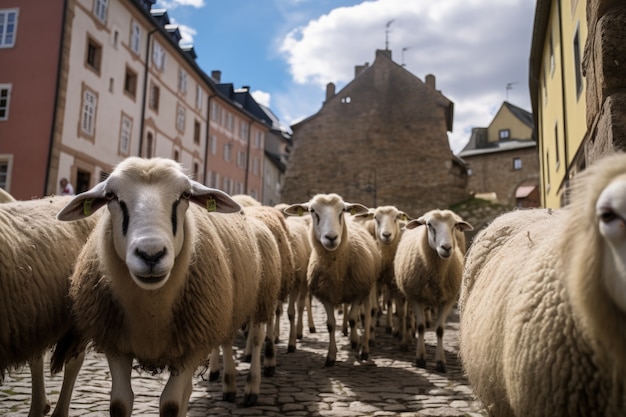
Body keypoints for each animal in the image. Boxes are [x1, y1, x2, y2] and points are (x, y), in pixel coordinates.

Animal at [53, 157, 266, 416]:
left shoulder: (191, 348)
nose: (150, 254)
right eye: (110, 195)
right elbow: (119, 403)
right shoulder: (116, 346)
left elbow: (171, 404)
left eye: (186, 195)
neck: (151, 314)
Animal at [284, 192, 380, 364]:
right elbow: (330, 324)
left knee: (368, 313)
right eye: (312, 210)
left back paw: (364, 348)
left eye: (342, 210)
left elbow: (353, 319)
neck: (336, 272)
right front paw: (331, 356)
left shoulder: (358, 293)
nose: (331, 237)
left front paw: (356, 344)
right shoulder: (325, 297)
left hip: (367, 288)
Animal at [392, 210, 470, 372]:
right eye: (429, 224)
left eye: (454, 225)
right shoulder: (416, 297)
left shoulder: (448, 300)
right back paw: (406, 339)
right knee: (406, 316)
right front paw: (420, 358)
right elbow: (421, 327)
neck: (436, 274)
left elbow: (440, 330)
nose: (446, 247)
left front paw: (440, 361)